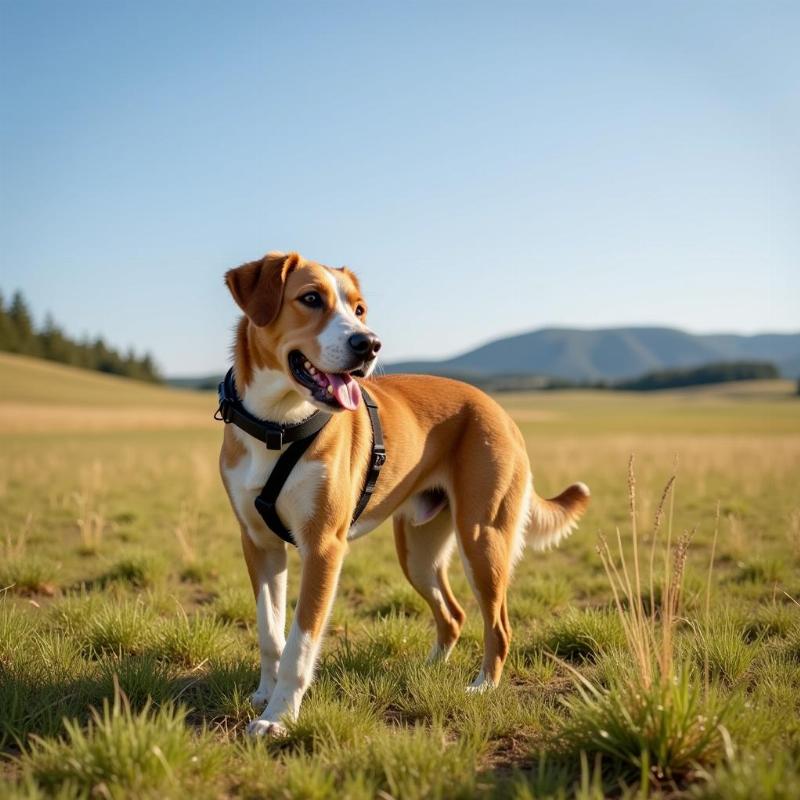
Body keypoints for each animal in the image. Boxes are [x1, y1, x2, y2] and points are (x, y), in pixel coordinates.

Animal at [219, 252, 588, 736]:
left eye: (360, 309)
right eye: (311, 298)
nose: (369, 344)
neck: (277, 424)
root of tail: (499, 410)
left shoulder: (322, 547)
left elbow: (300, 643)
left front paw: (279, 717)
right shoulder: (259, 544)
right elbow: (270, 632)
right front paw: (264, 694)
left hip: (482, 541)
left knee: (499, 625)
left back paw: (482, 686)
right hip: (418, 552)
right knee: (453, 615)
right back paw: (430, 670)